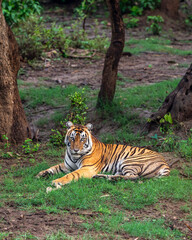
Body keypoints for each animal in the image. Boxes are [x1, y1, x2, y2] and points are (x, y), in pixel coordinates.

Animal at [36, 122, 170, 189]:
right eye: (72, 137)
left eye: (82, 139)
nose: (75, 150)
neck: (74, 157)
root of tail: (166, 164)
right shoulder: (67, 165)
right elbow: (53, 167)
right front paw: (41, 174)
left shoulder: (87, 168)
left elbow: (71, 175)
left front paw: (56, 181)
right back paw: (101, 177)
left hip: (129, 161)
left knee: (133, 177)